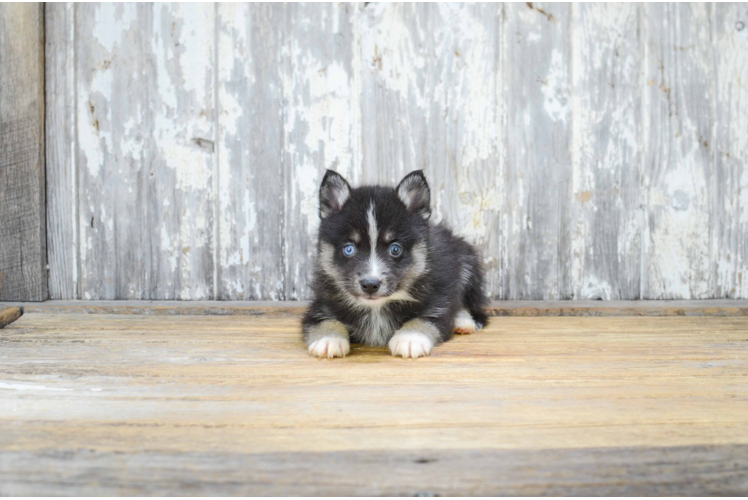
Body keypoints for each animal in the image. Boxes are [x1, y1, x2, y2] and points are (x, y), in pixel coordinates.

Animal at [300, 171, 488, 360]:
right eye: (349, 248)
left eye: (395, 249)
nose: (370, 285)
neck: (376, 308)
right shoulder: (321, 303)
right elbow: (323, 320)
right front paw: (328, 339)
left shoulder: (439, 297)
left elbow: (427, 317)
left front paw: (410, 338)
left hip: (466, 262)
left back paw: (462, 321)